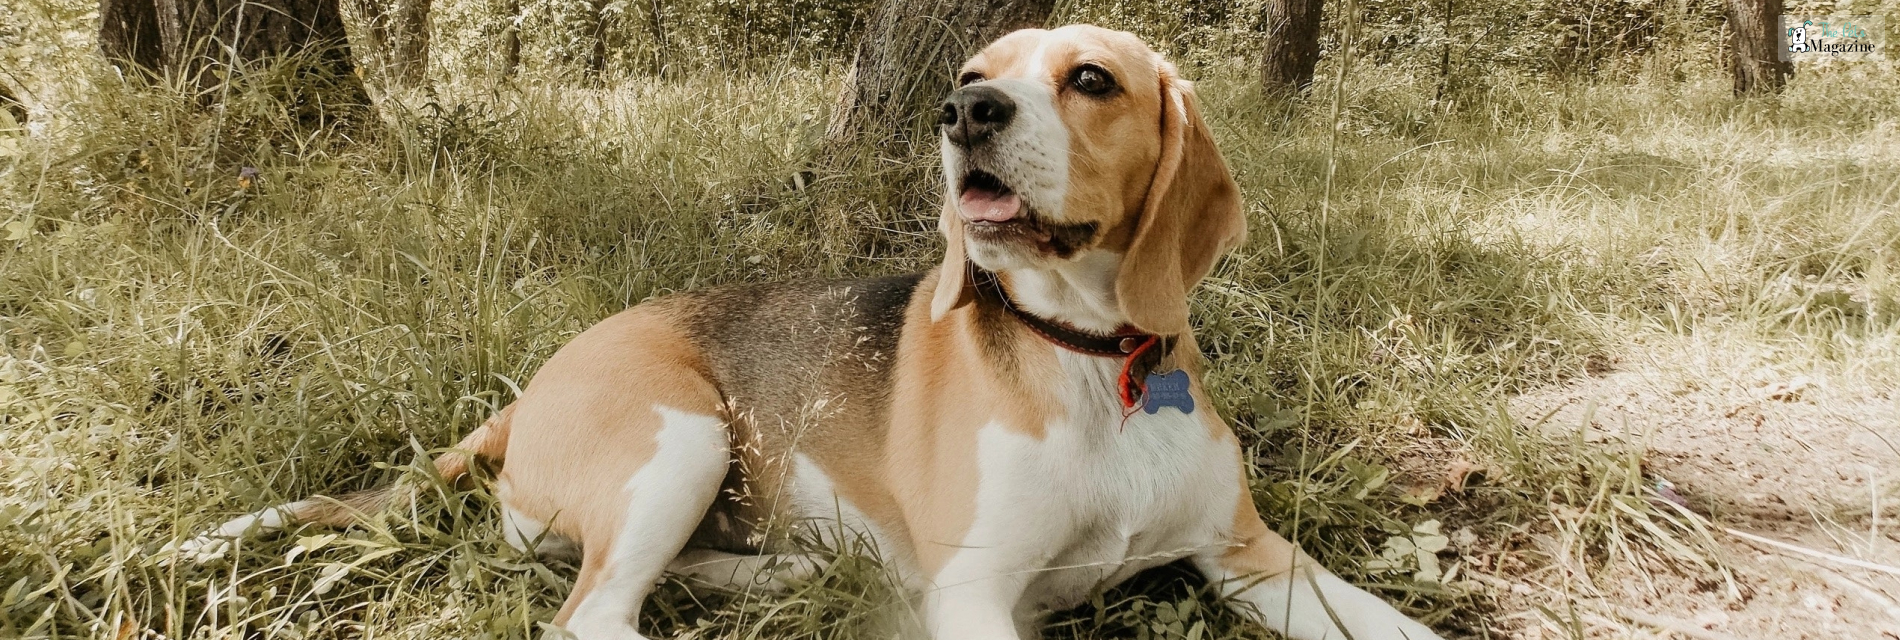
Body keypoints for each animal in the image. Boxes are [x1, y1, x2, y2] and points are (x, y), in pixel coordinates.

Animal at [189, 23, 1436, 638]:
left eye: (1091, 79)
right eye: (975, 72)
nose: (963, 110)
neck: (1088, 363)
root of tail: (528, 391)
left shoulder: (1255, 555)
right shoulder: (976, 592)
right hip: (682, 434)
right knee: (591, 617)